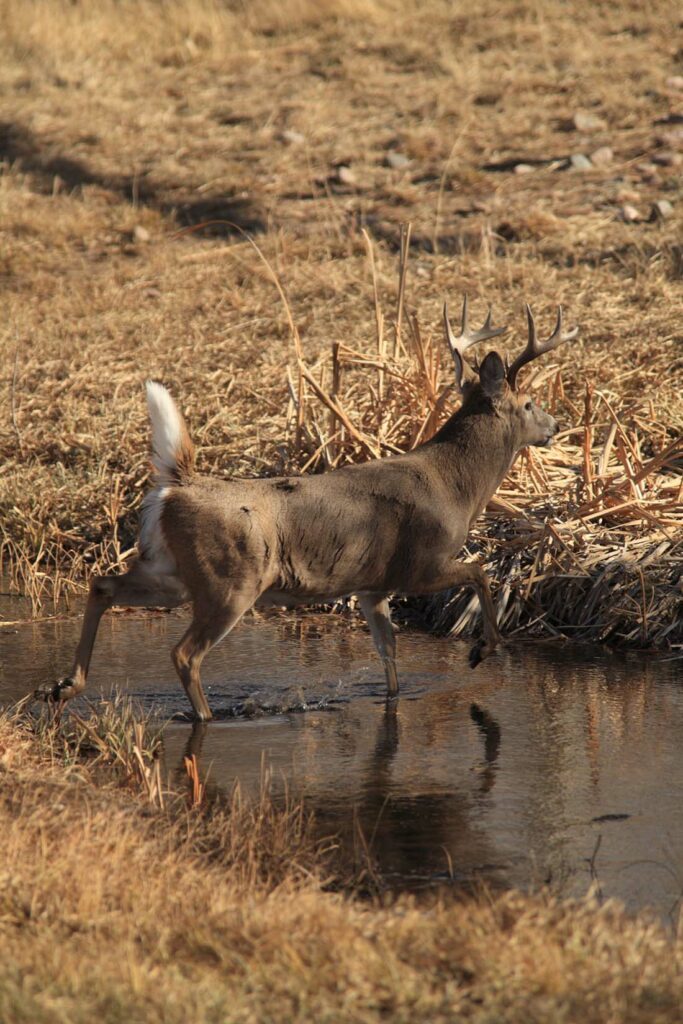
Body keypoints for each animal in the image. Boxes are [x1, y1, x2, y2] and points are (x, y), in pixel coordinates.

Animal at [38, 296, 577, 720]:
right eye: (529, 403)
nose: (554, 425)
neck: (457, 485)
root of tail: (176, 485)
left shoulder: (371, 587)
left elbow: (390, 657)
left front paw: (396, 696)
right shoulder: (420, 564)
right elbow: (480, 572)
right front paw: (482, 649)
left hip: (170, 571)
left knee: (102, 584)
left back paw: (64, 688)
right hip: (230, 580)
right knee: (185, 654)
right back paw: (207, 717)